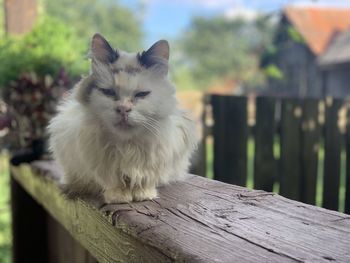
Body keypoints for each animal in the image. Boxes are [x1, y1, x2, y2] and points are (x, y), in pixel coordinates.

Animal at [47, 34, 197, 204]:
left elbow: (144, 179)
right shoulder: (101, 162)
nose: (123, 109)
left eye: (141, 94)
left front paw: (143, 194)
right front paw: (119, 197)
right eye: (109, 92)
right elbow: (113, 181)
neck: (127, 146)